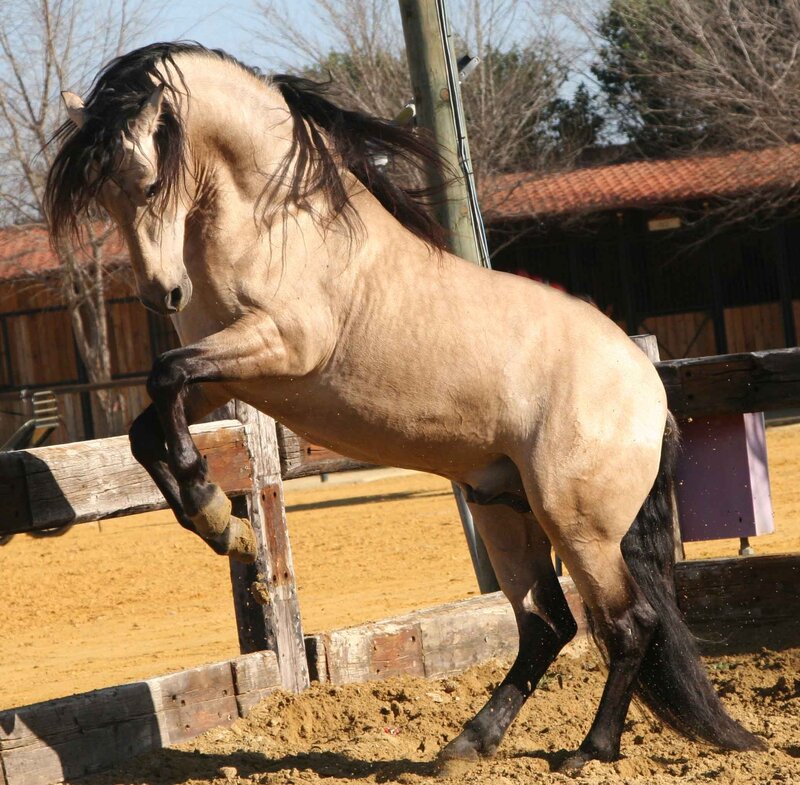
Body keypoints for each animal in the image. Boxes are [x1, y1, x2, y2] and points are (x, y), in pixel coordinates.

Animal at [44, 42, 763, 772]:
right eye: (104, 196)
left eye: (148, 180)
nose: (163, 292)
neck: (281, 225)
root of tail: (648, 388)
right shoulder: (230, 380)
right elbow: (147, 422)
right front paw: (220, 522)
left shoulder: (279, 347)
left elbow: (163, 377)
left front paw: (216, 510)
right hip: (503, 510)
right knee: (546, 624)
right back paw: (467, 743)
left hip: (579, 526)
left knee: (626, 624)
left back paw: (589, 750)